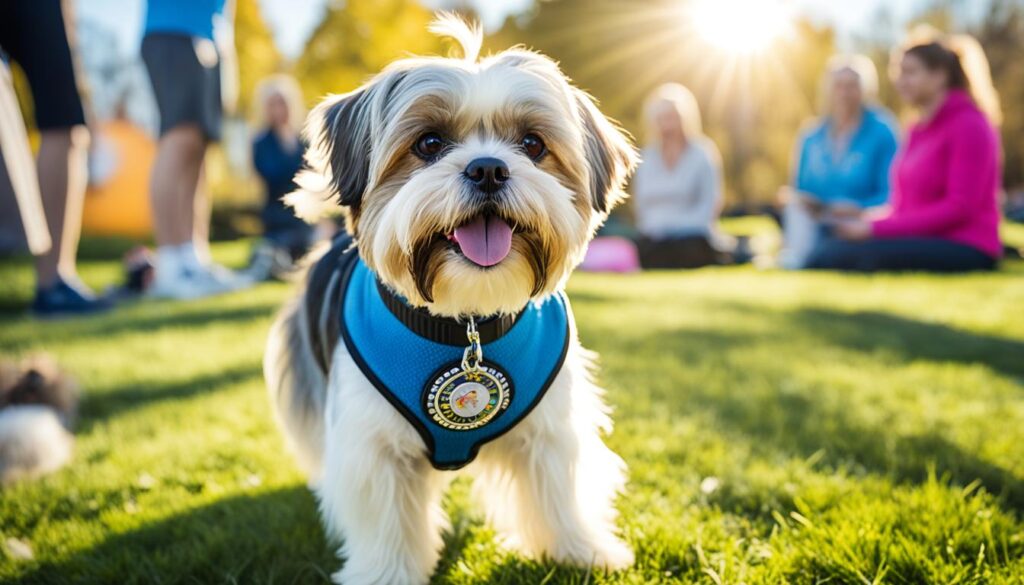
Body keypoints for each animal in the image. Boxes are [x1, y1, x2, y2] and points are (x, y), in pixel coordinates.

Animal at [262, 14, 638, 585]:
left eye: (532, 144)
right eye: (430, 142)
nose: (488, 168)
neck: (467, 321)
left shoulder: (552, 427)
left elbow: (559, 492)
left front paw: (579, 550)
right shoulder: (374, 446)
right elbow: (386, 523)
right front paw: (387, 575)